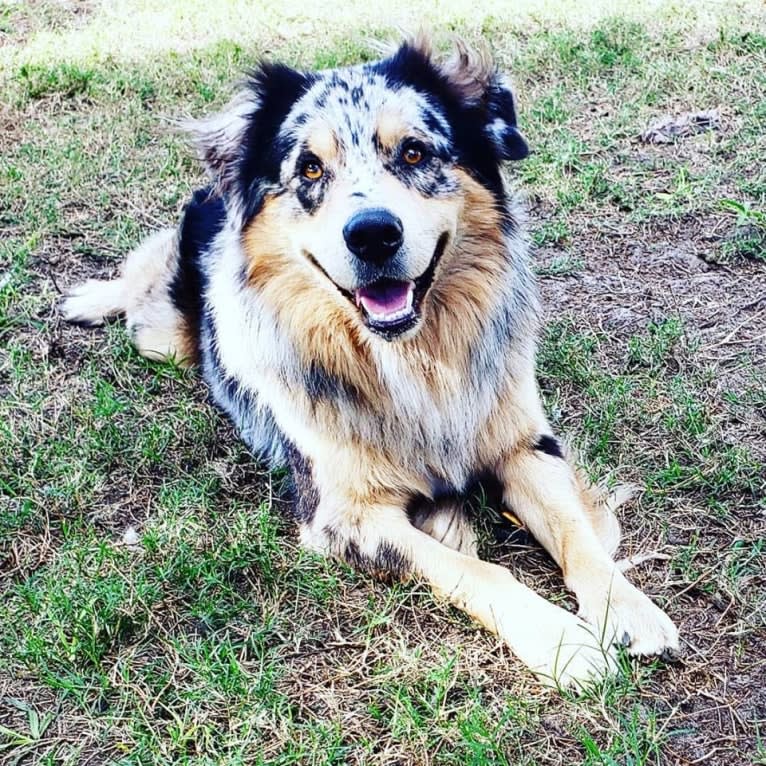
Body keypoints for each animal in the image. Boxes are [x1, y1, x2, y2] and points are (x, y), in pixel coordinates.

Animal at [63, 36, 680, 688]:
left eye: (414, 151)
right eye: (310, 168)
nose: (373, 235)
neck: (412, 360)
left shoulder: (525, 443)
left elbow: (575, 531)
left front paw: (627, 608)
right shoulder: (342, 514)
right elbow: (472, 568)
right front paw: (562, 639)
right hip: (161, 334)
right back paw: (89, 299)